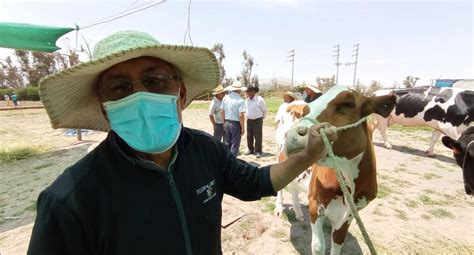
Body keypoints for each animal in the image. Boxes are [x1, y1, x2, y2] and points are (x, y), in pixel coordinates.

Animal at [282, 86, 396, 255]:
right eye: (306, 110)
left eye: (348, 104)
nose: (292, 135)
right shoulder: (315, 204)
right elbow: (318, 246)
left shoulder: (349, 215)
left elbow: (337, 243)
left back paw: (298, 214)